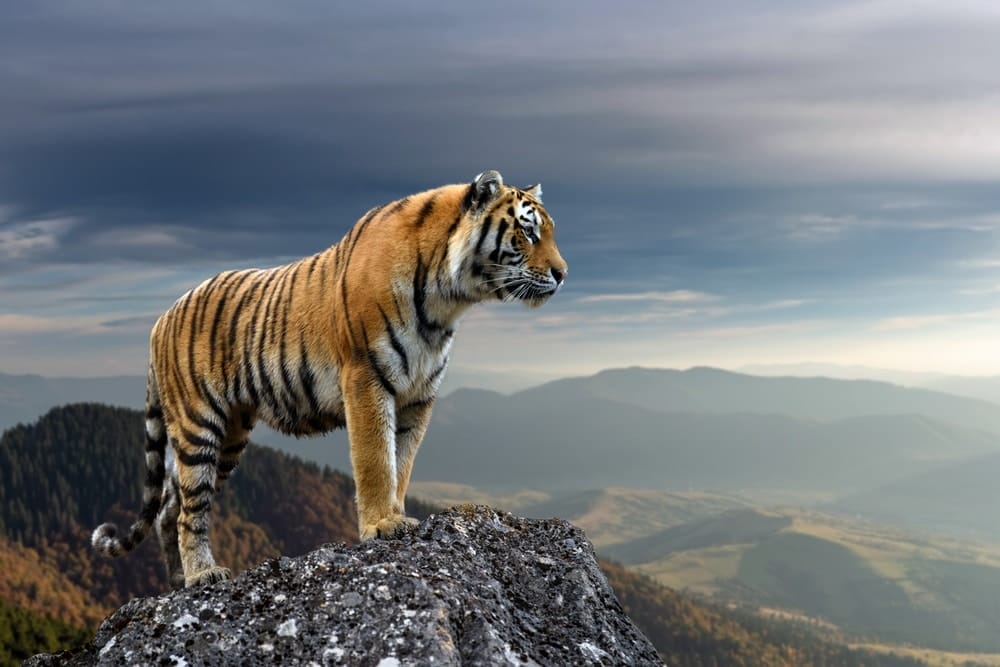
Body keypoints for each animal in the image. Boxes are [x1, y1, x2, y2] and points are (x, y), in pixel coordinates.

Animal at [91, 170, 568, 588]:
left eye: (551, 233)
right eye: (527, 233)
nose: (563, 274)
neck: (446, 302)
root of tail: (159, 320)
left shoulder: (419, 397)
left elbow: (402, 462)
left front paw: (397, 514)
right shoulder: (366, 378)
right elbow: (376, 460)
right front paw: (382, 525)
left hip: (230, 436)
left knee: (170, 508)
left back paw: (177, 583)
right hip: (198, 425)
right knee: (191, 509)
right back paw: (202, 575)